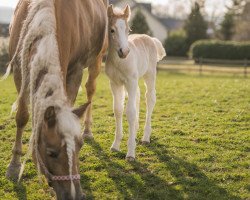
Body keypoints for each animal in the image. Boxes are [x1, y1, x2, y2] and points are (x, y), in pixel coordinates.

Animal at [4, 0, 107, 199]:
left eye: (80, 146)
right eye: (52, 153)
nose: (74, 195)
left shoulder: (75, 70)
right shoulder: (20, 71)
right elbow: (22, 117)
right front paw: (14, 165)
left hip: (96, 62)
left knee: (90, 90)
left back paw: (88, 130)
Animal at [105, 4, 166, 161]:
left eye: (128, 30)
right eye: (112, 30)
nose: (124, 52)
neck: (119, 62)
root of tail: (150, 38)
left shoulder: (130, 81)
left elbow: (130, 112)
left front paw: (131, 152)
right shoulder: (115, 83)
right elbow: (118, 110)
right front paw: (115, 145)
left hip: (149, 75)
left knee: (149, 98)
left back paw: (145, 137)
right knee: (138, 96)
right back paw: (137, 129)